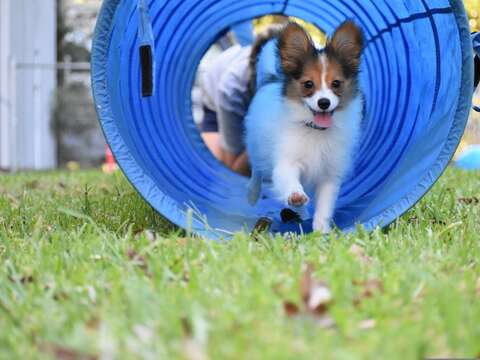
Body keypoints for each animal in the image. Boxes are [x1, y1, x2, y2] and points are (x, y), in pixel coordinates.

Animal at [248, 21, 364, 233]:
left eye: (336, 83)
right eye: (308, 84)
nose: (324, 102)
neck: (315, 130)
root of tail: (271, 79)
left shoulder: (329, 175)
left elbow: (324, 206)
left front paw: (320, 232)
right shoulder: (286, 161)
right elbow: (289, 180)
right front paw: (296, 195)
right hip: (256, 145)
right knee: (257, 171)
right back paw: (252, 194)